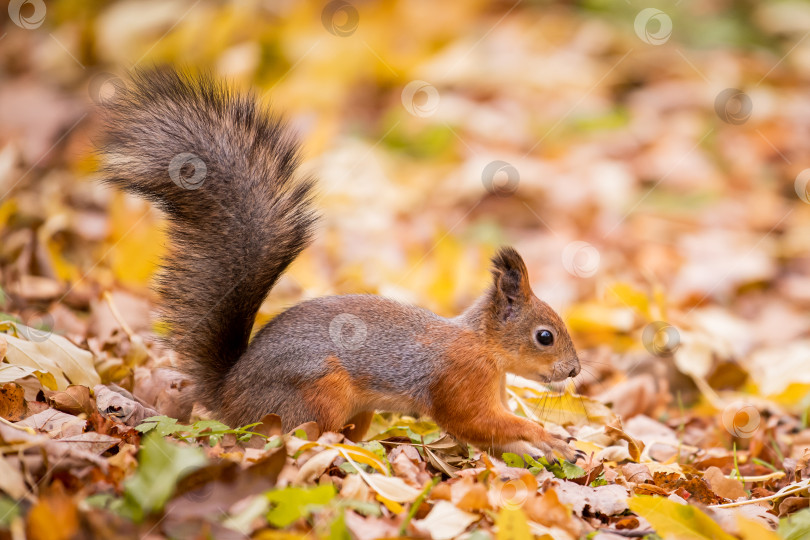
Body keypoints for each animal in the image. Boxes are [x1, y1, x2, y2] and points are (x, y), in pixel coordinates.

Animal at [98, 69, 580, 462]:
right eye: (545, 336)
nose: (575, 370)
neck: (485, 347)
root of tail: (230, 396)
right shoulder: (460, 382)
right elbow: (476, 422)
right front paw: (549, 438)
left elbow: (490, 436)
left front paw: (539, 450)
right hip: (317, 394)